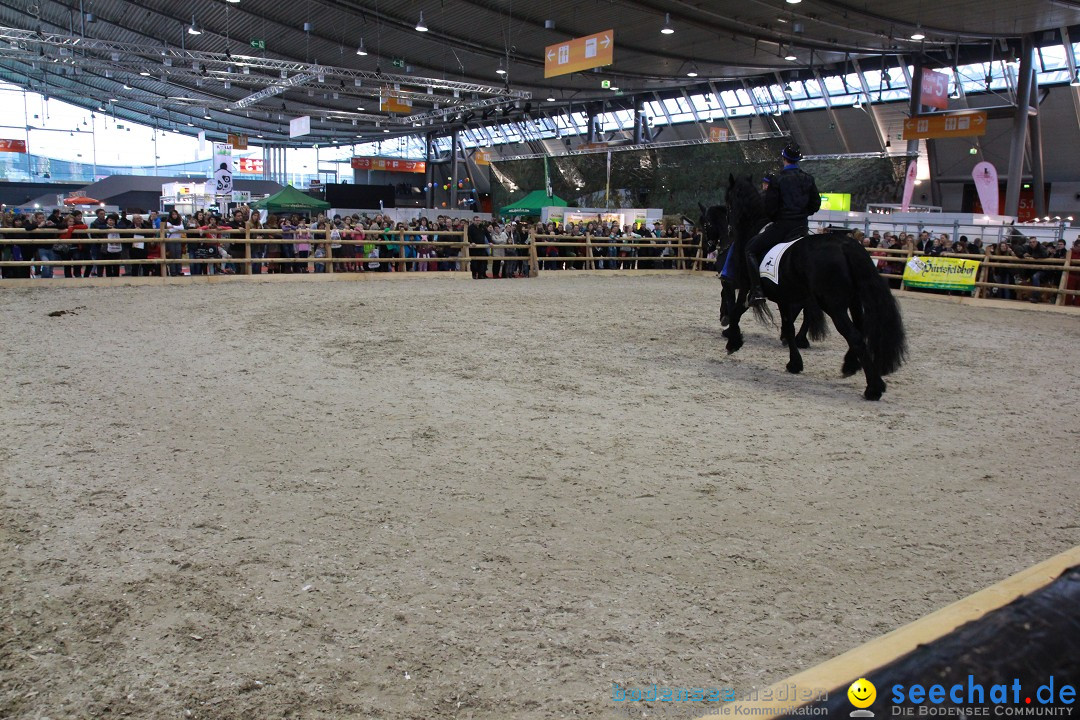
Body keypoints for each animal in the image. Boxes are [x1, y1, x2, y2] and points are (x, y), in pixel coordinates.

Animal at [721, 174, 907, 399]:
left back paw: (873, 388)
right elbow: (788, 327)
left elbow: (736, 312)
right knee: (860, 330)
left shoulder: (748, 287)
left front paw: (733, 342)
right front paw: (794, 364)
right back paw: (850, 366)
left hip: (833, 305)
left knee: (854, 335)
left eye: (728, 202)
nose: (728, 230)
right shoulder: (785, 297)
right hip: (852, 302)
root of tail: (844, 245)